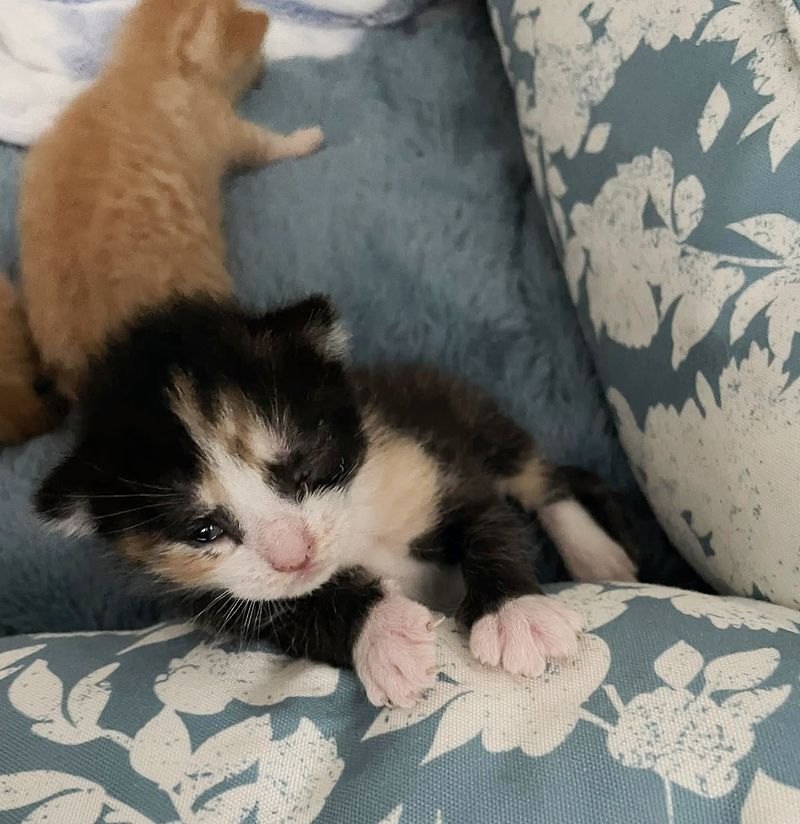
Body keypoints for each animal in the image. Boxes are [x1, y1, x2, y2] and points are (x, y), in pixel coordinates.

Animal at [19, 0, 318, 402]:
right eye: (255, 55)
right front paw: (304, 139)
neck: (145, 69)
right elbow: (267, 144)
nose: (264, 72)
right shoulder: (226, 128)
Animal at [36, 296, 636, 708]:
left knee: (537, 476)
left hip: (462, 406)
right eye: (204, 531)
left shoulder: (428, 459)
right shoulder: (227, 603)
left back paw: (594, 555)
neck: (357, 527)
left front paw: (515, 614)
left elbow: (487, 522)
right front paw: (385, 636)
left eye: (303, 470)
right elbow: (307, 612)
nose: (293, 555)